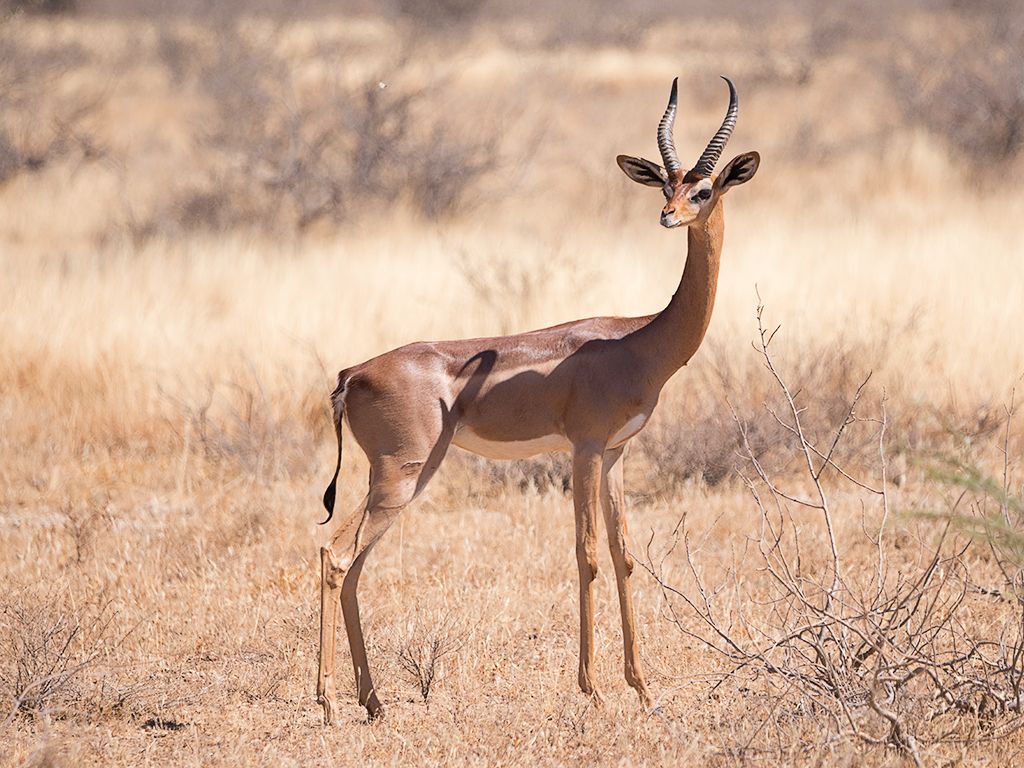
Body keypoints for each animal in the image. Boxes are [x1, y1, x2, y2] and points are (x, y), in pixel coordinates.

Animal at [317, 76, 760, 725]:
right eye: (669, 185)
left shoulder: (617, 454)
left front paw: (643, 689)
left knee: (353, 564)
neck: (639, 340)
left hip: (403, 478)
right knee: (335, 553)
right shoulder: (584, 449)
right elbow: (588, 555)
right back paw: (327, 703)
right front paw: (592, 689)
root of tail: (354, 373)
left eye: (701, 188)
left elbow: (625, 556)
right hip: (402, 475)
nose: (667, 215)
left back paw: (373, 703)